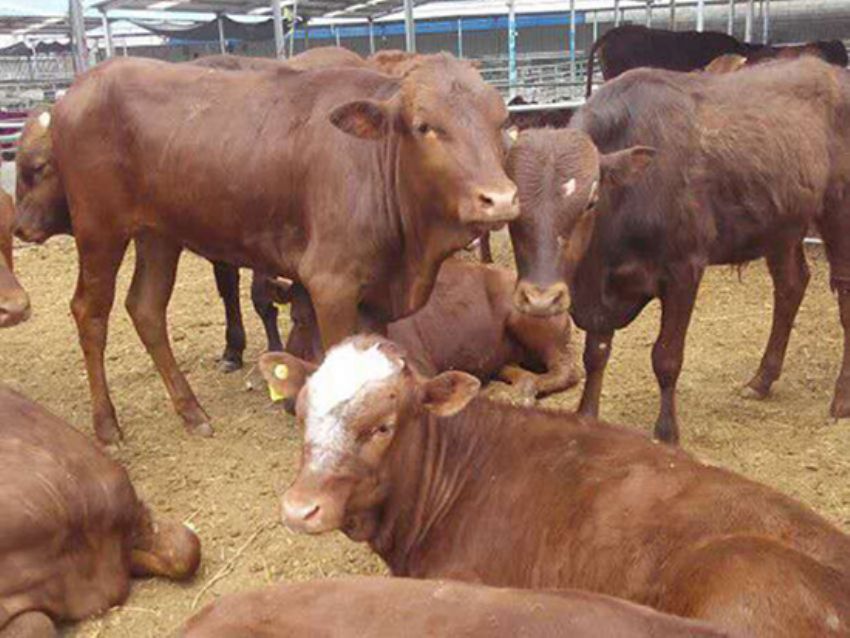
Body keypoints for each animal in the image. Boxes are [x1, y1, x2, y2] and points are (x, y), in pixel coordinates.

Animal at [46, 54, 517, 443]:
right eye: (424, 126)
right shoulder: (333, 284)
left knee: (145, 308)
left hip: (158, 235)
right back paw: (106, 424)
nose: (499, 198)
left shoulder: (376, 294)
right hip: (99, 229)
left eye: (501, 122)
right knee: (90, 312)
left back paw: (192, 412)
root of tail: (83, 85)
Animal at [509, 57, 850, 443]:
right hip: (781, 223)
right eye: (513, 202)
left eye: (591, 201)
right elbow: (595, 353)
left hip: (838, 212)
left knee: (844, 299)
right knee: (791, 285)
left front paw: (666, 431)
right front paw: (587, 415)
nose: (541, 300)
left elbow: (666, 357)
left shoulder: (684, 270)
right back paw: (762, 380)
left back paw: (840, 398)